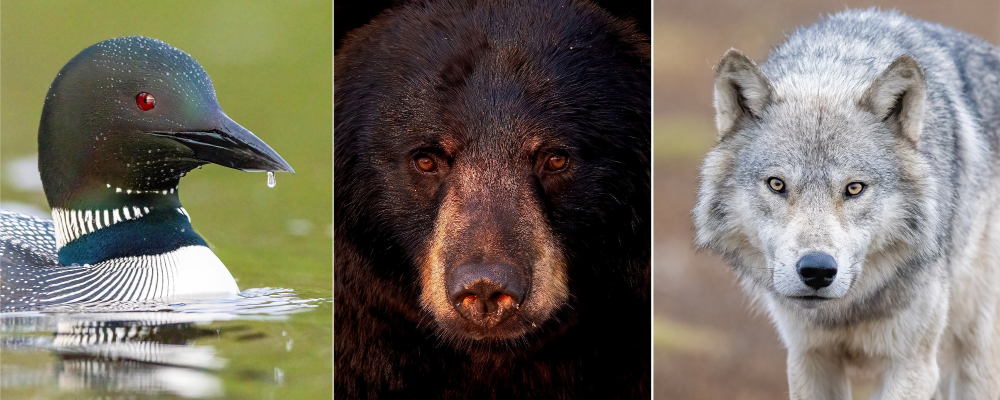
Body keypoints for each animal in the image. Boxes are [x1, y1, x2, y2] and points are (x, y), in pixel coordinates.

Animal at [694, 9, 1000, 400]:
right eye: (777, 185)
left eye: (854, 188)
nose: (817, 270)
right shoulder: (808, 358)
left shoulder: (912, 367)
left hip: (975, 357)